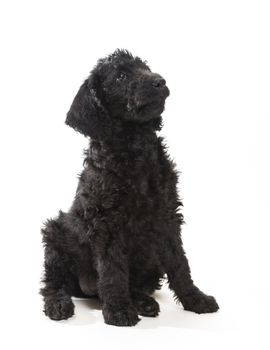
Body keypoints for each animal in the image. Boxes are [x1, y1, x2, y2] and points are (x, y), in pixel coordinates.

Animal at [41, 48, 219, 326]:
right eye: (121, 76)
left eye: (144, 67)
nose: (160, 81)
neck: (135, 147)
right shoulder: (106, 222)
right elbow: (112, 270)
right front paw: (118, 310)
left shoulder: (167, 216)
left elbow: (180, 263)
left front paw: (195, 299)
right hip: (55, 234)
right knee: (54, 283)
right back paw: (58, 304)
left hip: (151, 261)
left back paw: (144, 302)